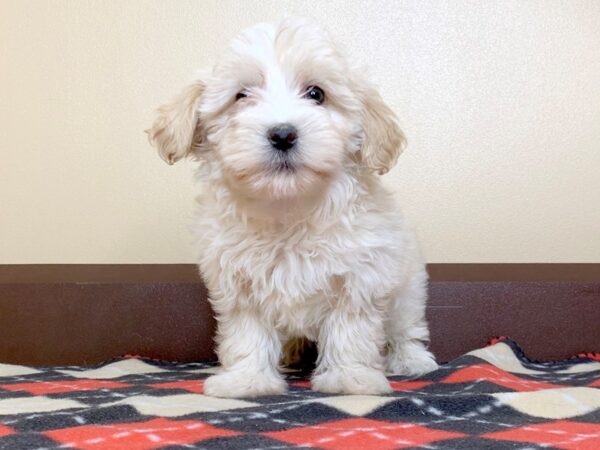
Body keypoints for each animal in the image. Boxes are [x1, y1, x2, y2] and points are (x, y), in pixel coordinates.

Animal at [145, 17, 436, 398]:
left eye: (316, 94)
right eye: (241, 95)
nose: (283, 134)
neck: (288, 207)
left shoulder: (360, 277)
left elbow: (350, 330)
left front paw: (350, 378)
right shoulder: (239, 283)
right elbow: (247, 333)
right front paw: (246, 379)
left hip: (407, 287)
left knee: (406, 327)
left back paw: (411, 359)